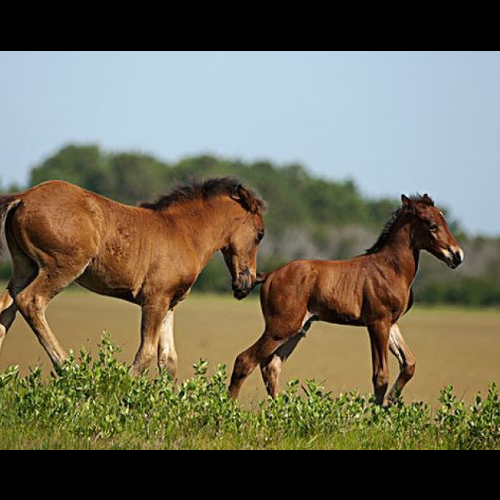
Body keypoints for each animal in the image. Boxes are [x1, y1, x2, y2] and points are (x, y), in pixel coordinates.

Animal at [0, 178, 266, 376]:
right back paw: (67, 366)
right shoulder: (154, 300)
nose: (247, 283)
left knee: (7, 305)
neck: (184, 232)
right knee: (30, 301)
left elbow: (168, 360)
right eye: (260, 235)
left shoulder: (170, 302)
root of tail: (23, 197)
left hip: (25, 267)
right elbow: (146, 353)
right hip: (62, 267)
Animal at [230, 193, 464, 404]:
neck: (390, 267)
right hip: (281, 328)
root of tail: (270, 275)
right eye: (432, 225)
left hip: (297, 330)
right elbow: (380, 376)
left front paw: (390, 403)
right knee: (245, 360)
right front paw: (376, 417)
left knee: (271, 367)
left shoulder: (391, 323)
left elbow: (409, 364)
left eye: (444, 220)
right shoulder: (377, 323)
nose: (457, 255)